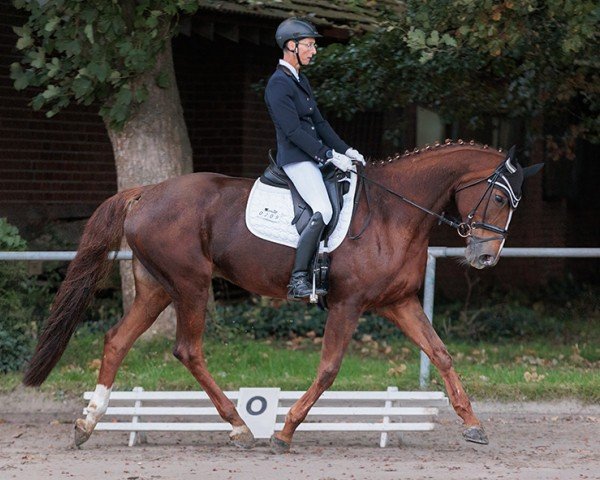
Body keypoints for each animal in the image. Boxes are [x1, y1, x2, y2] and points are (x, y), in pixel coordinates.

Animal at [23, 142, 540, 450]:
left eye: (516, 204)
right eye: (499, 198)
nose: (485, 258)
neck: (392, 214)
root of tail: (147, 191)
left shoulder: (400, 303)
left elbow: (441, 353)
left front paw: (473, 425)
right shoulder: (348, 304)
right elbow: (329, 369)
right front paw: (287, 429)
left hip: (156, 287)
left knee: (117, 340)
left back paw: (88, 423)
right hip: (191, 284)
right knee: (188, 349)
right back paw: (238, 425)